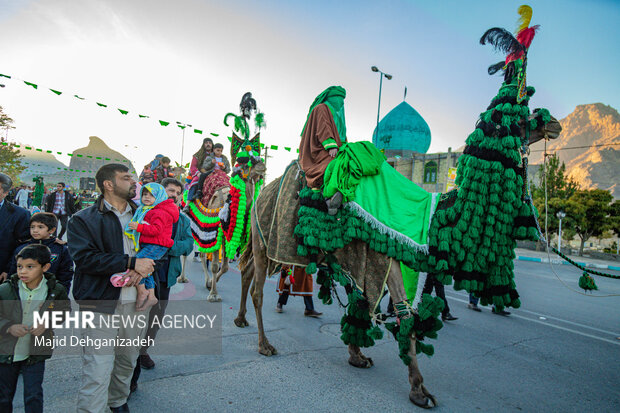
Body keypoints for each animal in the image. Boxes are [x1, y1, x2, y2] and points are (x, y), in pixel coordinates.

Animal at [234, 6, 560, 406]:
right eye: (520, 107)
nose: (555, 124)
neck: (432, 214)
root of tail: (261, 192)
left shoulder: (378, 256)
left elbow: (364, 302)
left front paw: (358, 355)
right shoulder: (386, 251)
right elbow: (404, 315)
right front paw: (420, 389)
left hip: (271, 243)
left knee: (248, 271)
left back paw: (241, 320)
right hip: (265, 236)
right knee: (257, 285)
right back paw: (264, 343)